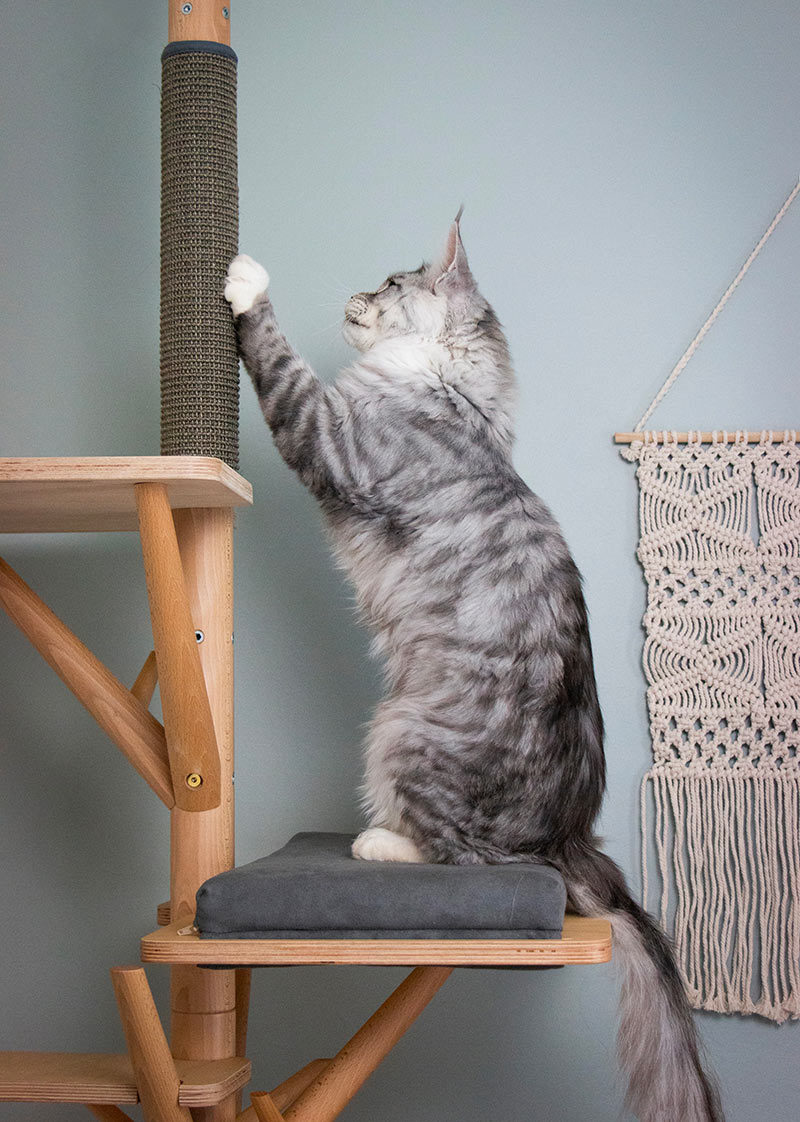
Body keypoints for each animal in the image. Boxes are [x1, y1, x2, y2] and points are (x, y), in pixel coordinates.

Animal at [221, 216, 722, 1122]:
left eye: (390, 283)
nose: (357, 292)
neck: (452, 393)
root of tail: (570, 835)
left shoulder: (329, 434)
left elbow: (279, 361)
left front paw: (248, 280)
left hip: (400, 727)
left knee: (461, 857)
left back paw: (378, 842)